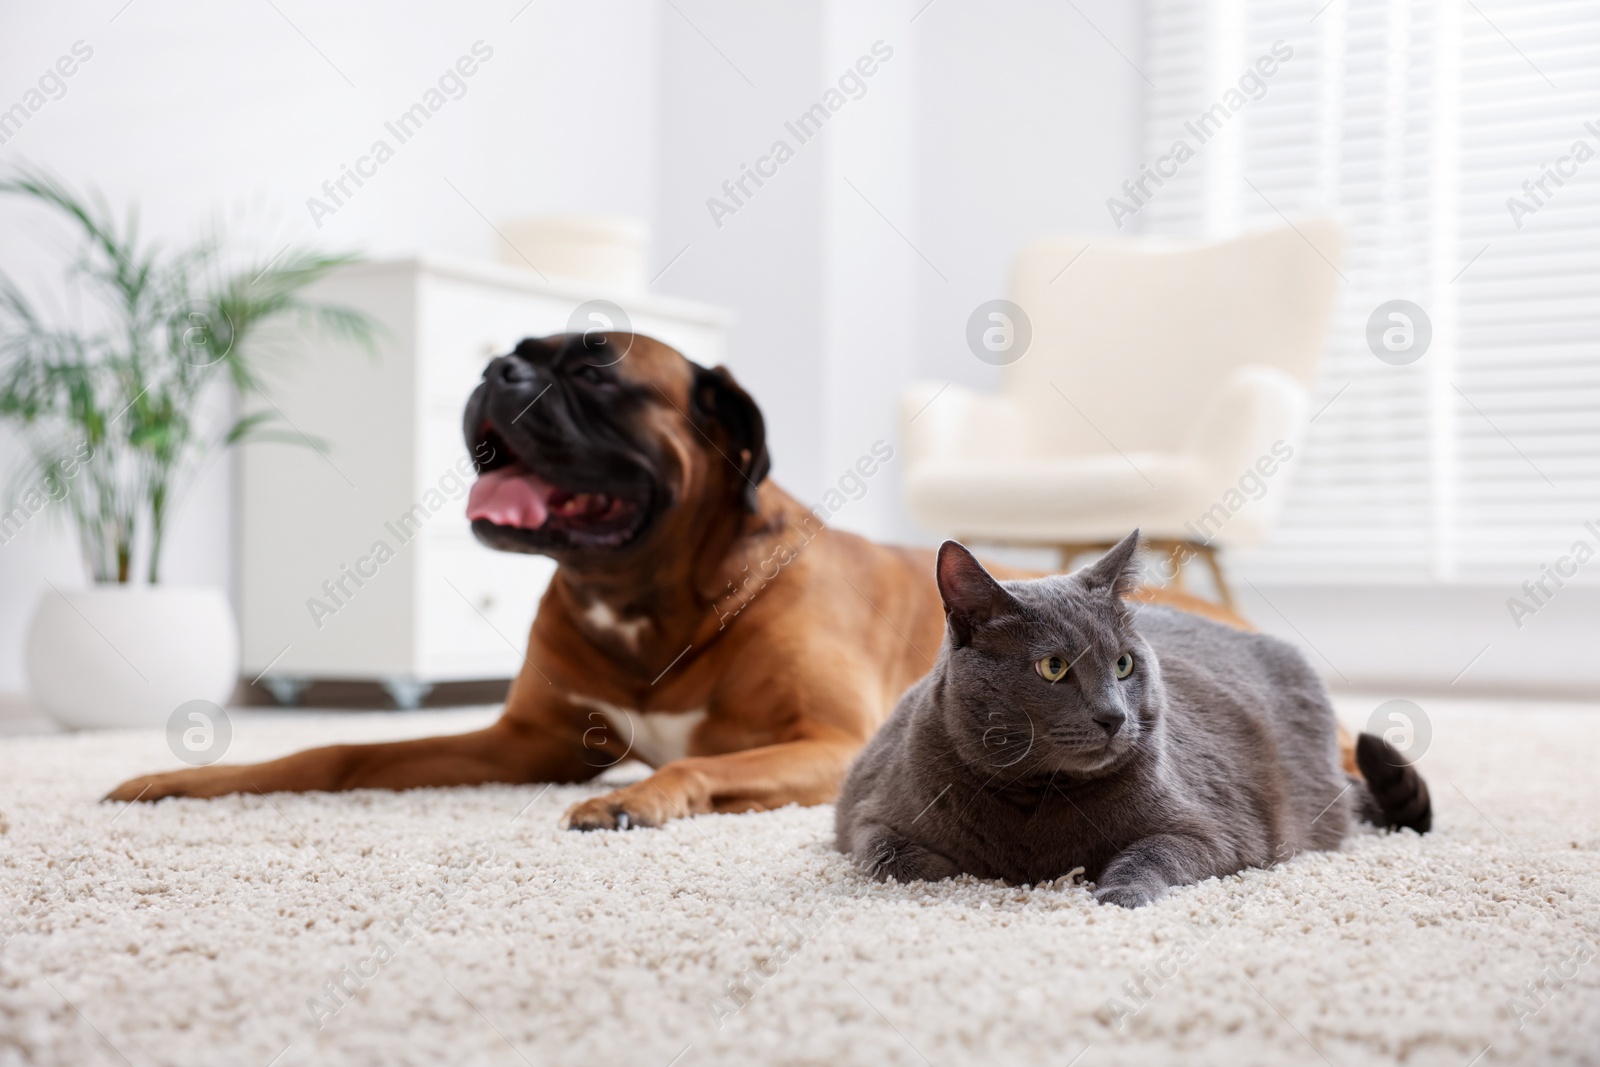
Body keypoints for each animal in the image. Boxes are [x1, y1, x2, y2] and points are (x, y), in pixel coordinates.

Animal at [100, 334, 1273, 825]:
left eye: (597, 369)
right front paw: (184, 778)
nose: (494, 369)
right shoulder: (519, 743)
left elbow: (700, 762)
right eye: (513, 350)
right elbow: (337, 749)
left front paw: (639, 797)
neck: (646, 594)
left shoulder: (824, 739)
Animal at [832, 531, 1433, 908]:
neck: (1038, 796)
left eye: (1123, 664)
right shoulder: (869, 814)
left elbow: (1152, 852)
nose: (1113, 716)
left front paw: (1117, 893)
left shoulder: (1213, 830)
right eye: (1052, 667)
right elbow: (894, 858)